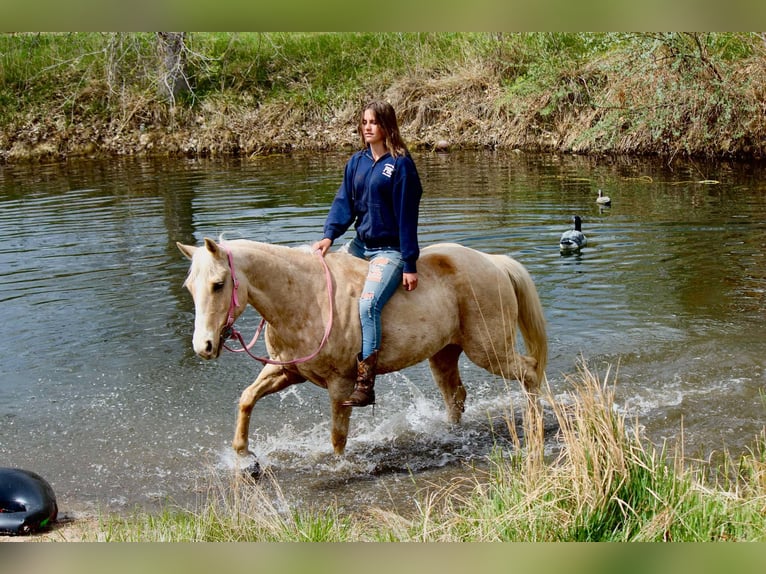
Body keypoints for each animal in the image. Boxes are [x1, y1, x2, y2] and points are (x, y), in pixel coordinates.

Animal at [177, 238, 547, 464]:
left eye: (218, 284)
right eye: (190, 286)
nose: (203, 346)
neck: (306, 297)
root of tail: (493, 262)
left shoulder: (341, 384)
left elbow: (338, 437)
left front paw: (337, 467)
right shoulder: (287, 371)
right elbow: (247, 398)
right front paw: (243, 454)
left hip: (489, 350)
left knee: (529, 370)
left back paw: (535, 422)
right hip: (444, 354)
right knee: (455, 396)